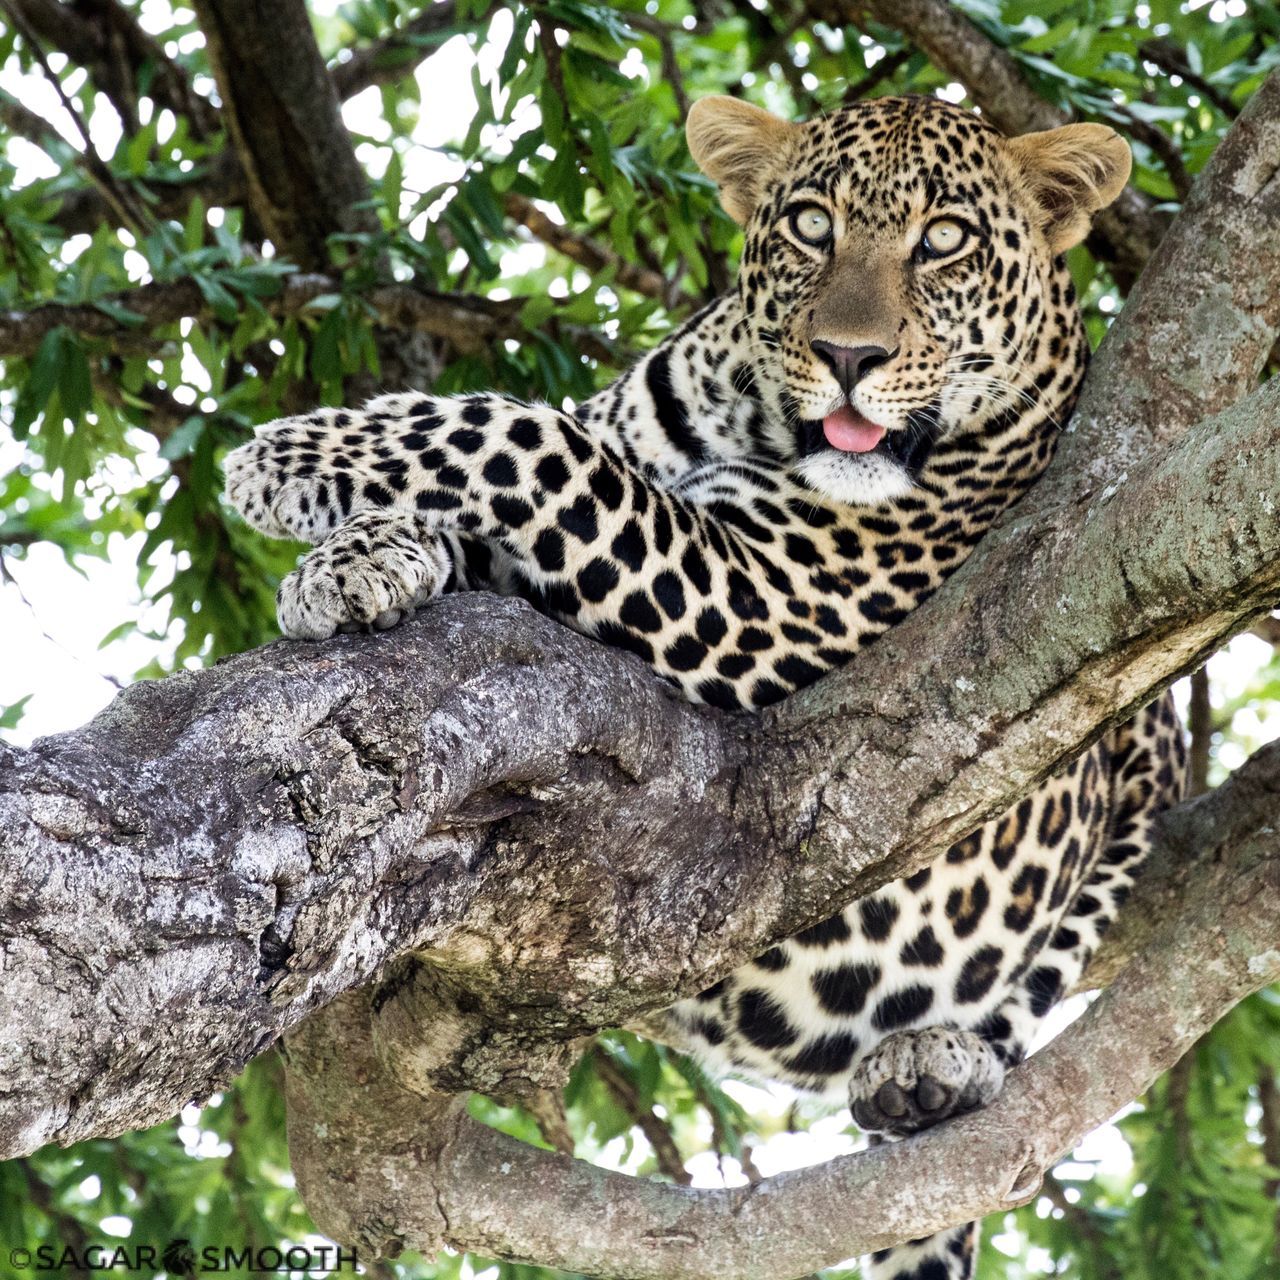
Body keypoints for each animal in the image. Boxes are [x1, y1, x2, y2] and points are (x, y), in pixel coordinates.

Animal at [222, 92, 1187, 1280]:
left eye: (945, 240)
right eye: (813, 225)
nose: (848, 354)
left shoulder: (757, 591)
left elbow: (526, 435)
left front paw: (292, 452)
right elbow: (506, 489)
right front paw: (357, 555)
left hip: (1140, 736)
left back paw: (939, 1062)